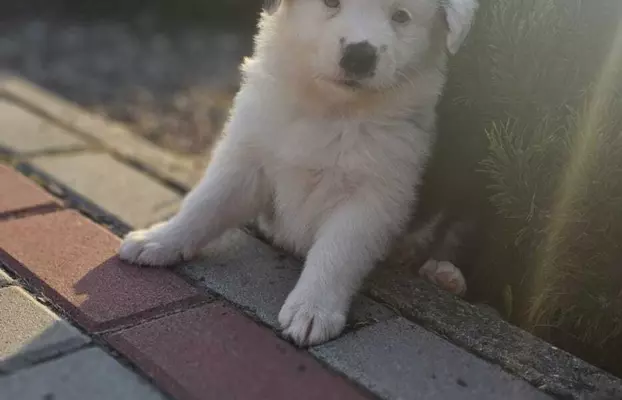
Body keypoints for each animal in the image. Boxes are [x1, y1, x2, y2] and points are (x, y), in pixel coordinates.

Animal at [118, 0, 478, 346]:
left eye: (401, 16)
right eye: (330, 3)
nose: (359, 55)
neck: (332, 110)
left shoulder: (376, 194)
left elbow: (336, 252)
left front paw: (312, 311)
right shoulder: (247, 156)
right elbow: (205, 203)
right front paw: (159, 239)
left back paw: (445, 276)